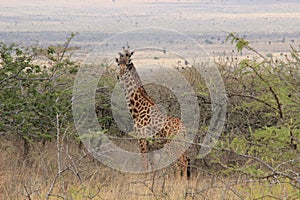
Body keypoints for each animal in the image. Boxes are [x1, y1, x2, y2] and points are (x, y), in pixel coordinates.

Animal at [115, 47, 190, 180]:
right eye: (118, 64)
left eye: (127, 64)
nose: (118, 76)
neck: (137, 110)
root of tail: (183, 129)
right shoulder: (151, 146)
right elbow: (152, 167)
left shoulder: (142, 140)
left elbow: (144, 164)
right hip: (181, 145)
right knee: (184, 162)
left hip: (172, 145)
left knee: (180, 164)